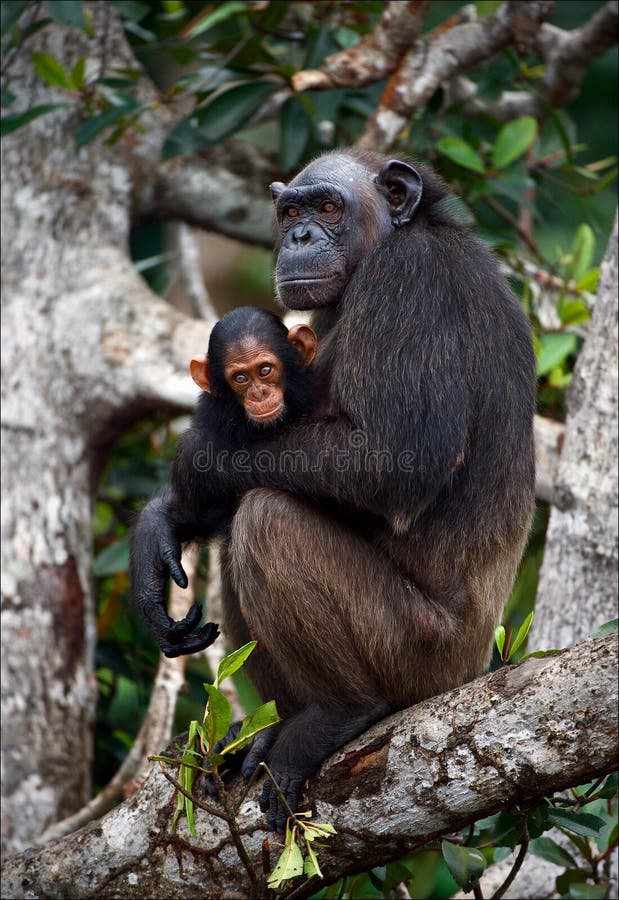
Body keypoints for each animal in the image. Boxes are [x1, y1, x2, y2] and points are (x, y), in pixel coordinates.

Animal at [129, 306, 318, 656]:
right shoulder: (211, 413)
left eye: (265, 370)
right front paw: (151, 573)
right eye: (240, 378)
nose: (259, 393)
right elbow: (197, 511)